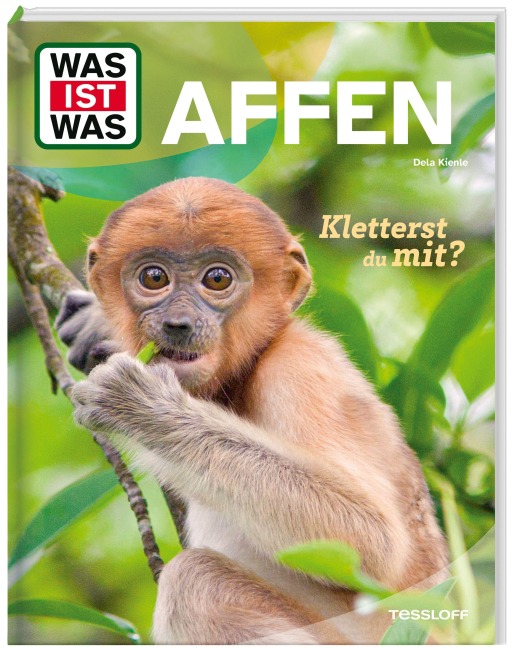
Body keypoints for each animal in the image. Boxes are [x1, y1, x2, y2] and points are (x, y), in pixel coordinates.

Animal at [56, 177, 449, 644]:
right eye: (154, 277)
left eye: (217, 278)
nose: (178, 324)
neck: (243, 374)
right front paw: (93, 324)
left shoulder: (300, 368)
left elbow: (372, 541)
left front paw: (139, 404)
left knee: (194, 582)